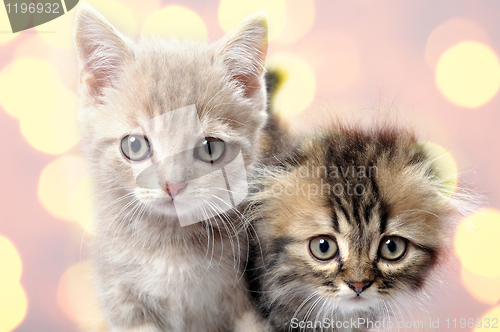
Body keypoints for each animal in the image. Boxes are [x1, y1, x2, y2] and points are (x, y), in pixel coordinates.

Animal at [72, 3, 270, 332]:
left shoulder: (245, 296)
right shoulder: (120, 298)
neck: (172, 244)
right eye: (135, 145)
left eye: (210, 148)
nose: (172, 185)